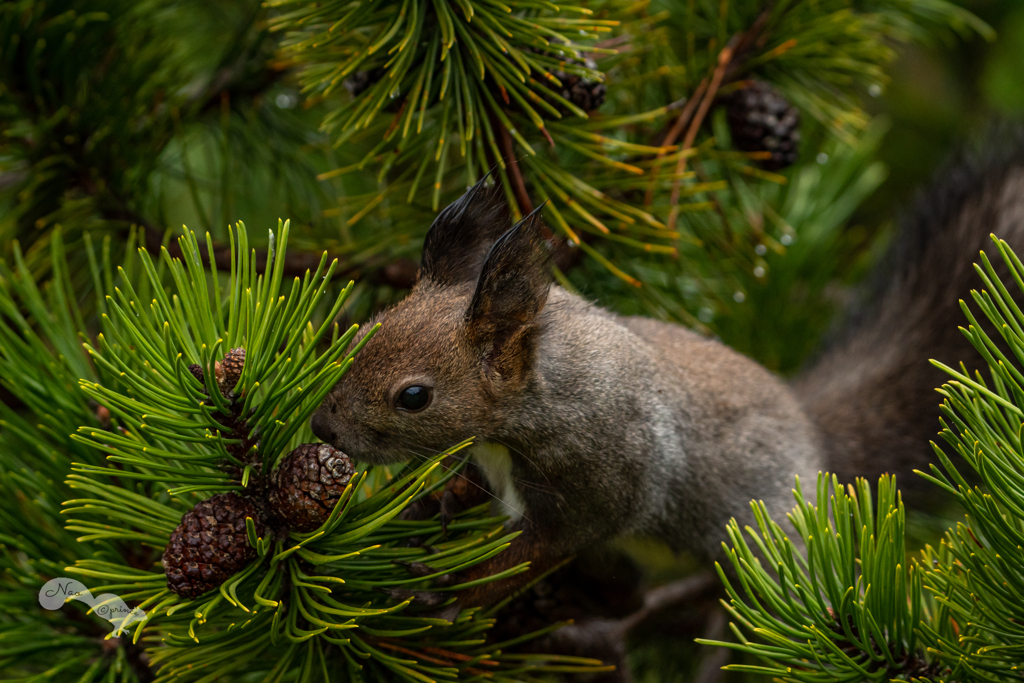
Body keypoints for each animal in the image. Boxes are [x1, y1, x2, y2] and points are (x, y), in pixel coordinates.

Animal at [307, 141, 1024, 606]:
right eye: (362, 331)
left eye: (414, 396)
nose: (322, 427)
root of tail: (815, 441)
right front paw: (438, 501)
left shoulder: (601, 481)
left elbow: (538, 550)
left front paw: (451, 589)